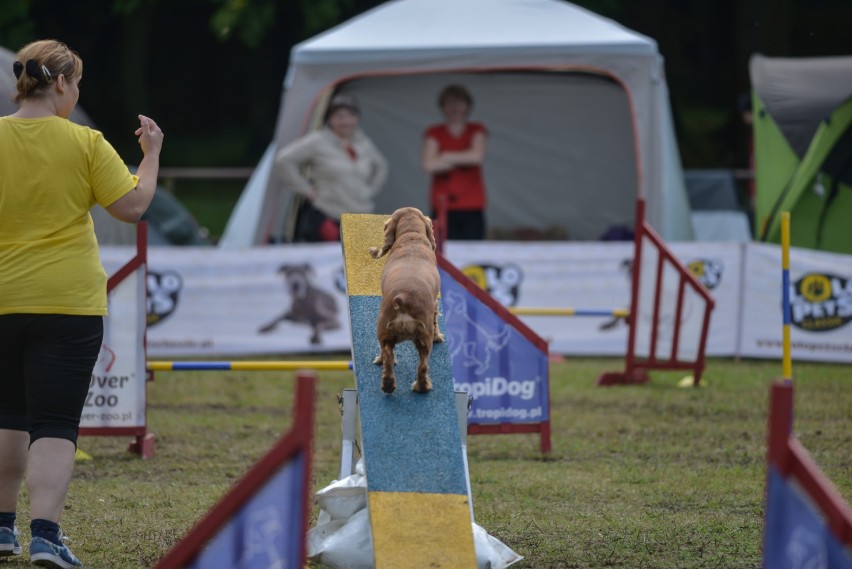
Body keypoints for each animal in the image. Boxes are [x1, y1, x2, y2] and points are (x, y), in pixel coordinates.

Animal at [368, 206, 442, 392]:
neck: (411, 234)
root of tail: (403, 298)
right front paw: (439, 337)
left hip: (385, 332)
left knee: (388, 355)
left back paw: (388, 384)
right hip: (423, 340)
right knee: (422, 366)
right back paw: (421, 387)